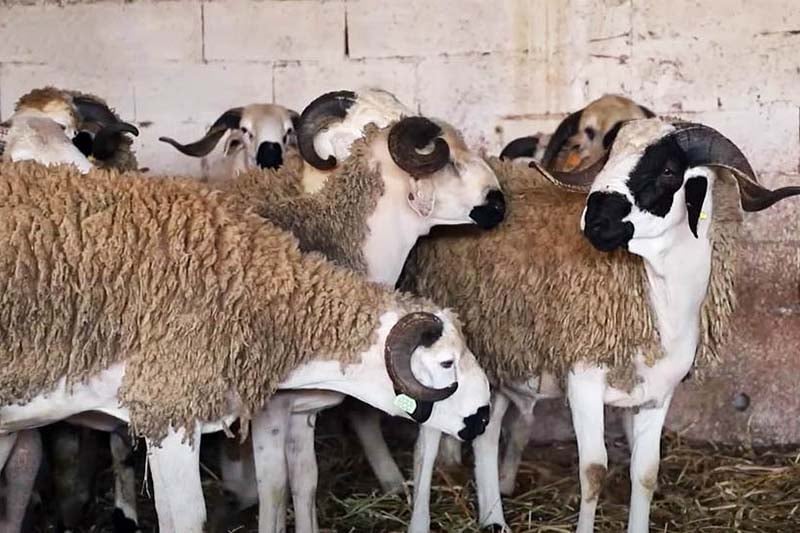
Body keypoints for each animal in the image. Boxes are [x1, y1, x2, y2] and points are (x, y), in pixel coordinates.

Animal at [215, 92, 505, 531]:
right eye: (447, 160)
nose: (499, 202)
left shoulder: (304, 408)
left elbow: (305, 480)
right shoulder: (271, 407)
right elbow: (274, 490)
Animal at [399, 117, 800, 532]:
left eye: (668, 170)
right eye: (609, 158)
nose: (595, 220)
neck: (661, 299)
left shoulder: (658, 395)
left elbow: (646, 474)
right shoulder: (584, 381)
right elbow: (593, 471)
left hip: (500, 357)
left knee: (486, 434)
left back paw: (494, 518)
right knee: (426, 443)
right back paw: (422, 519)